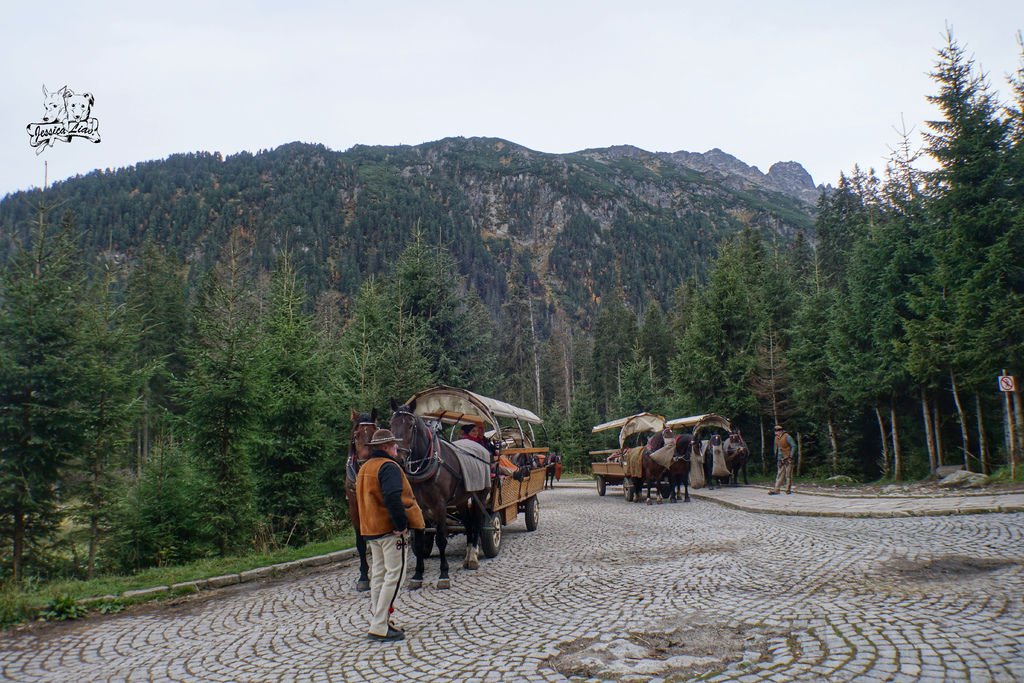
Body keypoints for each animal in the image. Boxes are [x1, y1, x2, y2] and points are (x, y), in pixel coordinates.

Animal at [389, 397, 489, 589]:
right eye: (391, 424)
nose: (398, 458)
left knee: (478, 522)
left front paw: (444, 574)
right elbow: (420, 539)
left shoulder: (440, 505)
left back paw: (473, 556)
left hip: (479, 495)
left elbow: (441, 538)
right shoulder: (420, 507)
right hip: (461, 499)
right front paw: (417, 575)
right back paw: (467, 556)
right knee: (468, 523)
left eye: (411, 425)